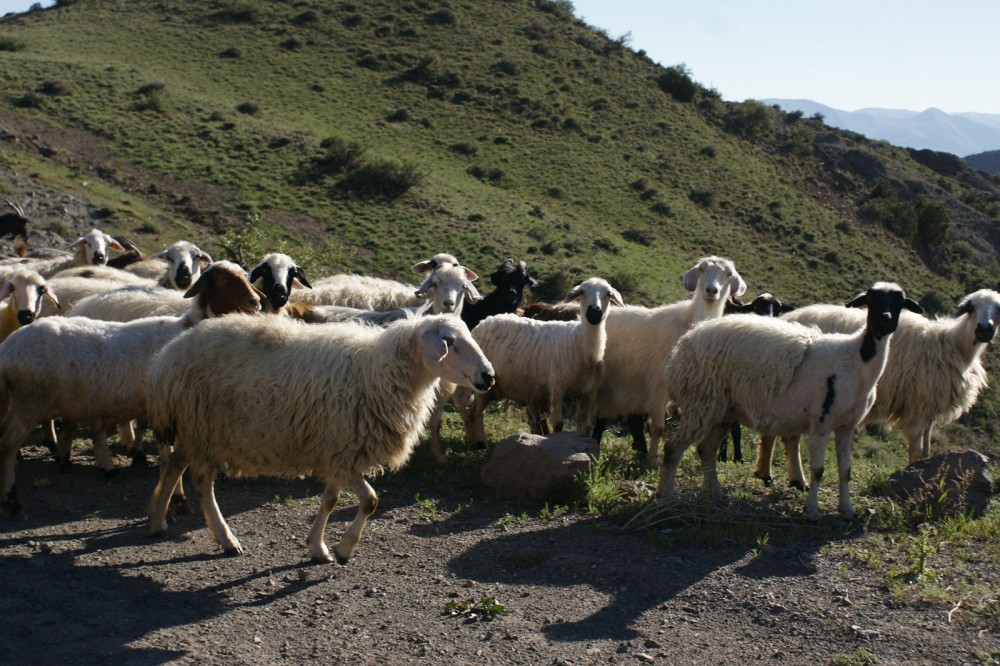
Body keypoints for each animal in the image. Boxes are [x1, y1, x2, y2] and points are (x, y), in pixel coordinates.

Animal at [0, 260, 266, 520]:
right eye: (222, 281)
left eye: (245, 276)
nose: (256, 302)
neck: (184, 329)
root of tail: (9, 347)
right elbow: (168, 456)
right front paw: (177, 500)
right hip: (29, 400)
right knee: (8, 445)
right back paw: (13, 500)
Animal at [145, 312, 496, 560]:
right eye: (450, 341)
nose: (489, 376)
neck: (378, 373)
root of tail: (169, 355)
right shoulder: (343, 451)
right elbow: (363, 500)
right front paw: (337, 549)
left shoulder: (341, 452)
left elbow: (343, 500)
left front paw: (325, 548)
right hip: (201, 429)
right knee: (202, 483)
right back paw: (225, 538)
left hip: (198, 432)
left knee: (175, 465)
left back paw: (158, 520)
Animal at [462, 274, 624, 452]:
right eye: (582, 293)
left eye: (608, 294)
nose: (594, 314)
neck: (582, 345)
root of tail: (485, 321)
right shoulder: (557, 388)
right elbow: (558, 424)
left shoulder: (589, 394)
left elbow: (586, 427)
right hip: (483, 383)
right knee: (474, 413)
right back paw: (478, 443)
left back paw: (472, 441)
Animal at [588, 252, 748, 464]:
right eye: (702, 269)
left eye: (729, 274)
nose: (711, 290)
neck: (688, 324)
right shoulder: (659, 387)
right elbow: (658, 429)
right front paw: (652, 461)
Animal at [656, 280, 920, 520]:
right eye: (872, 301)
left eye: (899, 302)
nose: (884, 320)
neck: (856, 360)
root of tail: (683, 346)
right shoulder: (821, 422)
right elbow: (818, 470)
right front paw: (812, 511)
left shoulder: (847, 425)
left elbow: (845, 470)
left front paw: (847, 510)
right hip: (701, 402)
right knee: (673, 448)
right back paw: (665, 497)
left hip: (723, 410)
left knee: (706, 450)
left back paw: (715, 495)